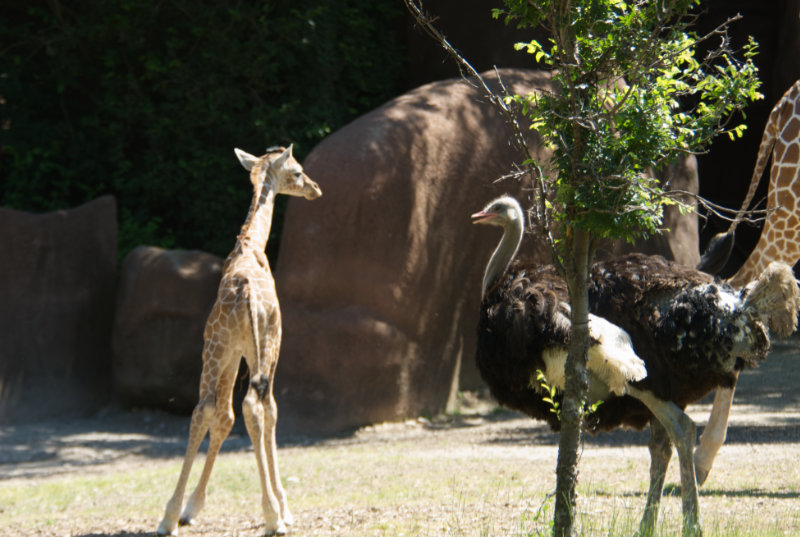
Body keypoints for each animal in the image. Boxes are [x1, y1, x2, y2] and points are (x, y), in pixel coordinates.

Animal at [156, 144, 322, 532]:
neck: (251, 245)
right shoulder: (273, 344)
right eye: (297, 171)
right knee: (253, 406)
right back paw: (272, 515)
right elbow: (270, 410)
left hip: (214, 351)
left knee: (205, 408)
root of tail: (245, 293)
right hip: (257, 348)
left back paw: (169, 516)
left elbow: (223, 419)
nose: (315, 189)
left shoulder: (234, 354)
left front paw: (191, 507)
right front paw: (283, 508)